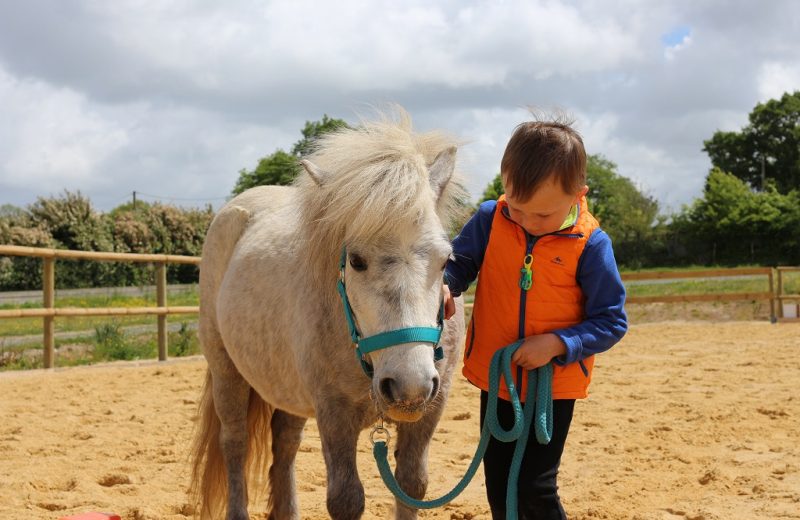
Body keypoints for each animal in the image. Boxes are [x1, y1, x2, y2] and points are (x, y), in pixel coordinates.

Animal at [191, 107, 468, 516]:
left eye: (446, 259)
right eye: (355, 261)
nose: (409, 385)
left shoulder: (431, 406)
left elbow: (411, 485)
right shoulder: (333, 412)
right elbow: (345, 499)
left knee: (284, 445)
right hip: (227, 370)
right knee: (235, 444)